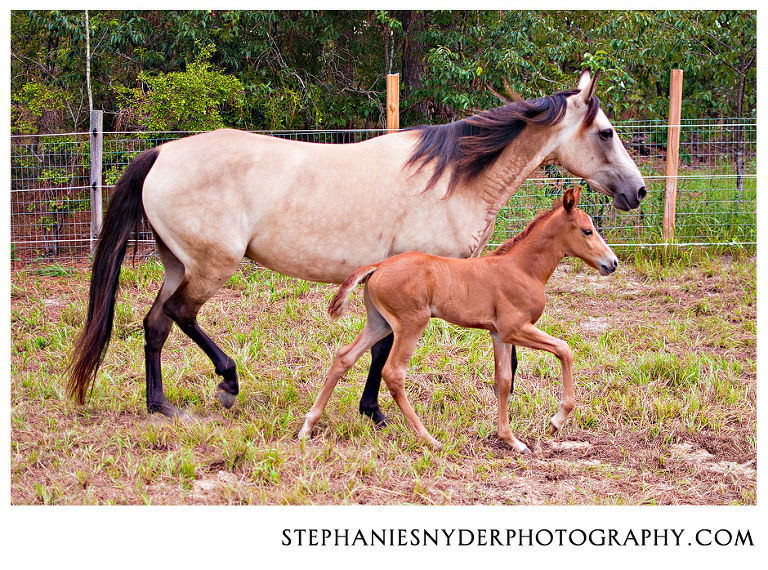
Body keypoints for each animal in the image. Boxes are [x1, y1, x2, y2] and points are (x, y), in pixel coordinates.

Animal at [67, 70, 645, 422]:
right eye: (607, 132)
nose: (637, 191)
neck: (451, 180)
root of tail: (162, 152)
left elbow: (385, 344)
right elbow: (388, 348)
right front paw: (377, 410)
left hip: (177, 264)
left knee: (154, 323)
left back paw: (159, 405)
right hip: (212, 266)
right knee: (180, 316)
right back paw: (225, 384)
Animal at [299, 186, 616, 452]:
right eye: (587, 231)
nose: (611, 263)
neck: (522, 269)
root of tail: (377, 266)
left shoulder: (499, 334)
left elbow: (503, 380)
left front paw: (511, 440)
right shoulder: (515, 329)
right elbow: (564, 350)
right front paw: (556, 421)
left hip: (380, 322)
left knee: (344, 357)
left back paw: (308, 426)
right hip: (411, 322)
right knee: (394, 372)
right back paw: (428, 439)